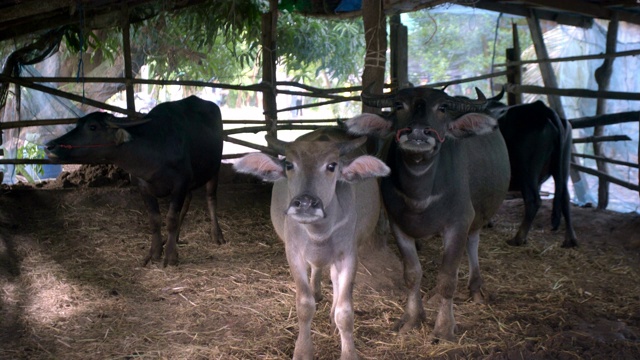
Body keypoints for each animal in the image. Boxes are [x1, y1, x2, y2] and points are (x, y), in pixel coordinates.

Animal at [45, 95, 225, 268]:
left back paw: (217, 235)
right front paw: (154, 253)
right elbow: (155, 220)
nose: (50, 146)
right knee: (188, 202)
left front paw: (170, 256)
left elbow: (171, 219)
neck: (155, 151)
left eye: (93, 127)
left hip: (214, 168)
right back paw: (175, 238)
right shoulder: (143, 187)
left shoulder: (180, 184)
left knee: (211, 198)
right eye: (77, 124)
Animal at [232, 128, 388, 360]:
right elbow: (304, 306)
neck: (318, 233)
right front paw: (303, 350)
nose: (305, 203)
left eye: (332, 166)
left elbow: (345, 311)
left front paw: (348, 351)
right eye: (289, 164)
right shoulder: (294, 253)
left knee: (334, 280)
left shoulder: (348, 255)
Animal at [344, 88, 510, 342]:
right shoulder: (398, 224)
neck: (420, 193)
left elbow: (447, 279)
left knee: (472, 243)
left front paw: (444, 327)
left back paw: (475, 288)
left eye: (442, 107)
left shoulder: (458, 223)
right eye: (399, 105)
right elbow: (412, 274)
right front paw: (412, 318)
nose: (418, 132)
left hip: (476, 217)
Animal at [490, 90, 580, 248]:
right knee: (565, 198)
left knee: (533, 201)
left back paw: (518, 238)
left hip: (526, 169)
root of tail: (541, 108)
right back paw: (570, 240)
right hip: (563, 166)